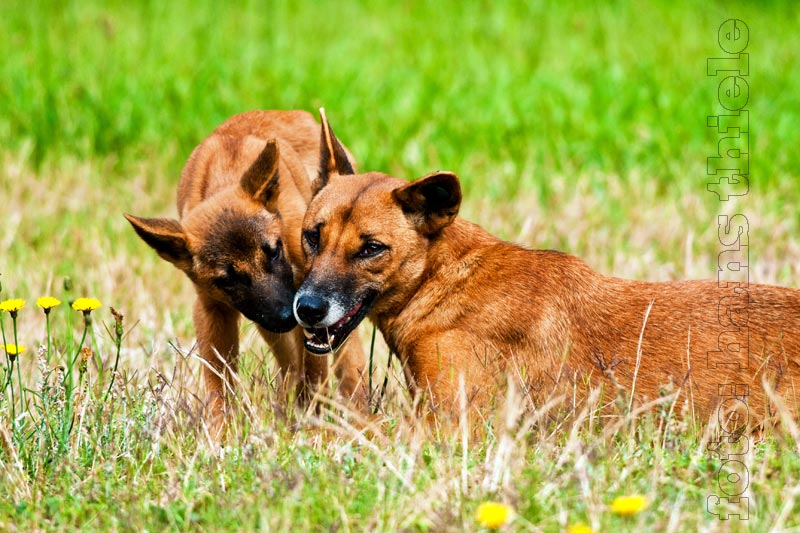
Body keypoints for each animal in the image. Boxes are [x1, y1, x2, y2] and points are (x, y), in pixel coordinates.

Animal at [125, 110, 366, 434]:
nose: (286, 317)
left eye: (274, 251)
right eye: (227, 279)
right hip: (267, 325)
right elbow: (218, 384)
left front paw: (314, 427)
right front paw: (220, 436)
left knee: (346, 362)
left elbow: (316, 374)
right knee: (290, 364)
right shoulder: (212, 311)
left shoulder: (308, 298)